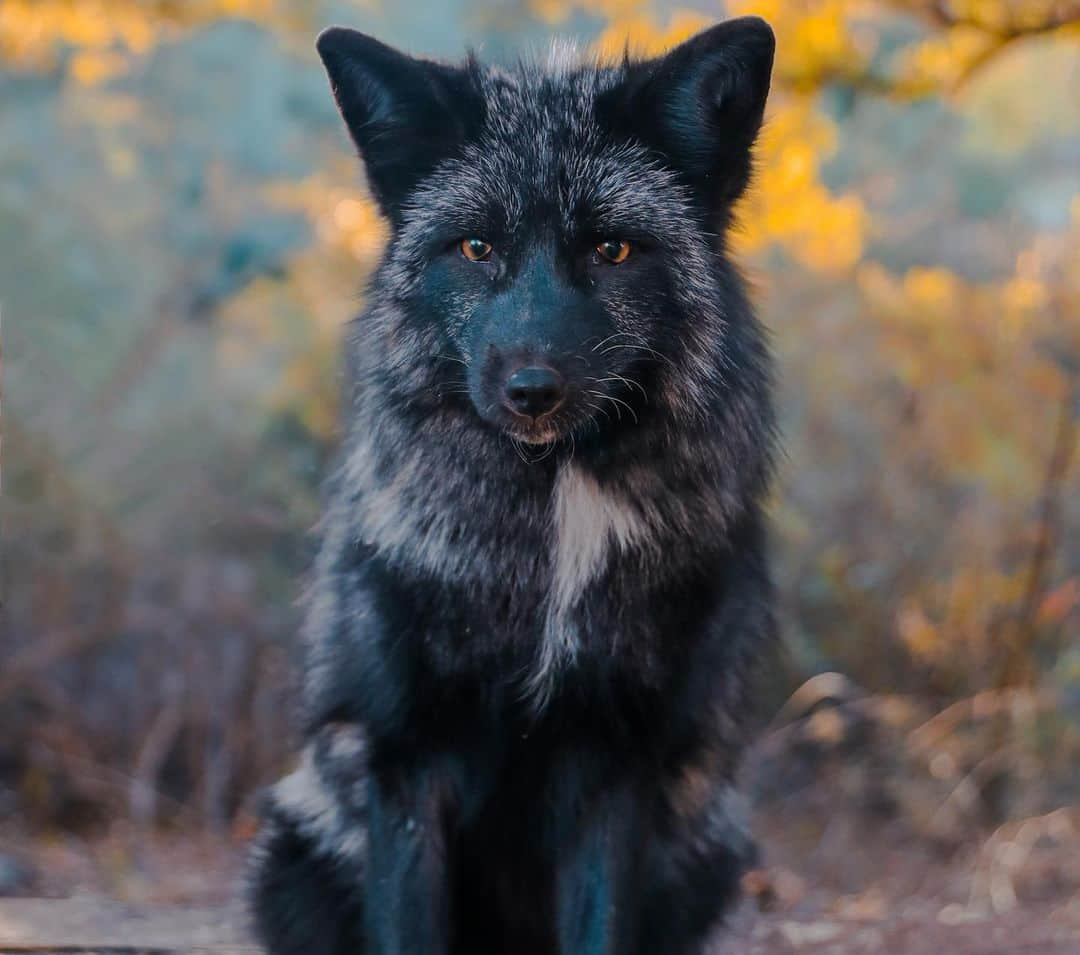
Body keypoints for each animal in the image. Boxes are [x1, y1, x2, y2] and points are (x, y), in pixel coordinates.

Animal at [252, 16, 777, 955]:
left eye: (611, 248)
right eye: (475, 247)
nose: (533, 389)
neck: (550, 532)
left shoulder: (617, 749)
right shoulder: (407, 748)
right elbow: (408, 926)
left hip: (710, 850)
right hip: (293, 856)